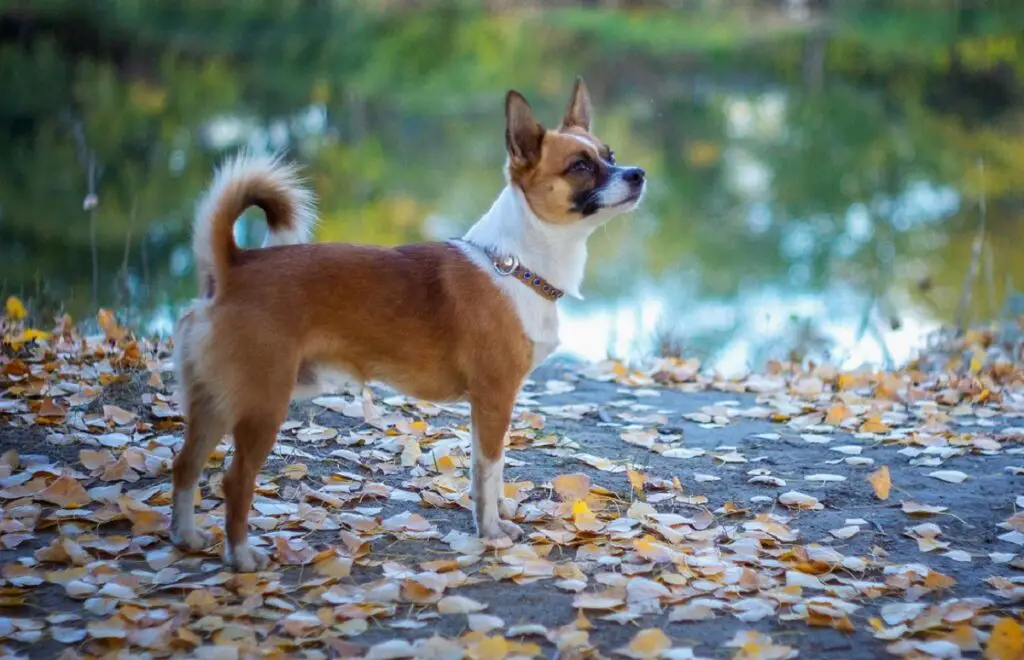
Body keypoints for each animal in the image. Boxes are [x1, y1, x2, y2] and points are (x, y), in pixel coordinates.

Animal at [168, 78, 647, 573]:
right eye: (580, 166)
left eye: (609, 154)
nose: (637, 173)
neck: (515, 265)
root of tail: (233, 268)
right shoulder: (494, 399)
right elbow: (490, 471)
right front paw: (492, 532)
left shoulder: (487, 407)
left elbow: (486, 473)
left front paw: (492, 517)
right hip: (262, 406)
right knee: (235, 480)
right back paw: (241, 555)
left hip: (214, 403)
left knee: (185, 467)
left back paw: (186, 536)